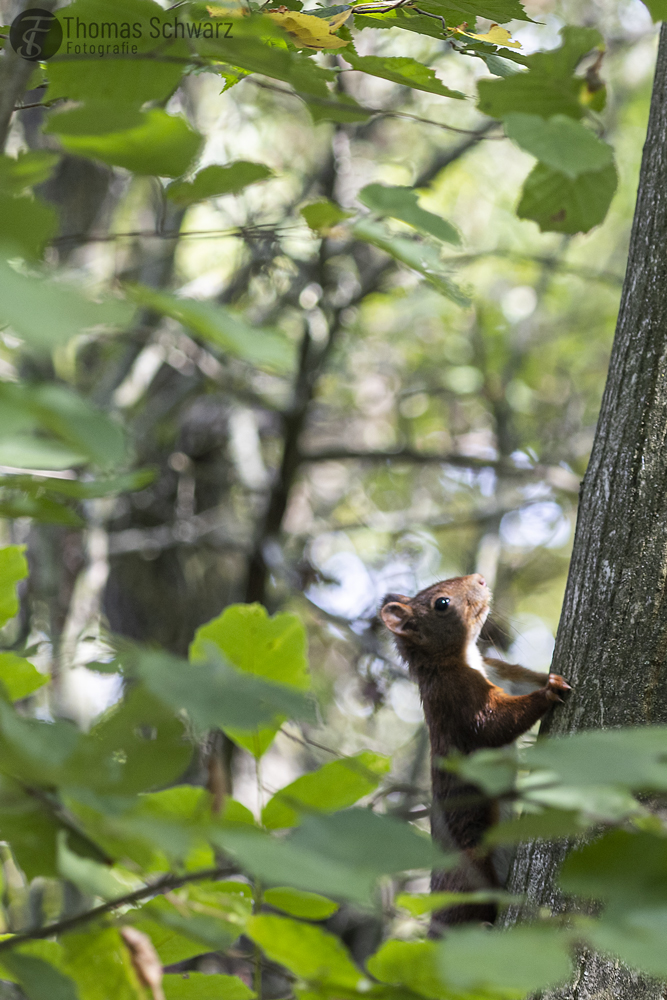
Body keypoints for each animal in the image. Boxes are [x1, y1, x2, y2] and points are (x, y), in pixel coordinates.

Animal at [380, 573, 571, 929]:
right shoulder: (457, 698)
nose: (480, 579)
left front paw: (549, 676)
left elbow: (526, 679)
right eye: (442, 603)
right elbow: (495, 724)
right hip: (471, 868)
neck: (459, 658)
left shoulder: (500, 671)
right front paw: (549, 693)